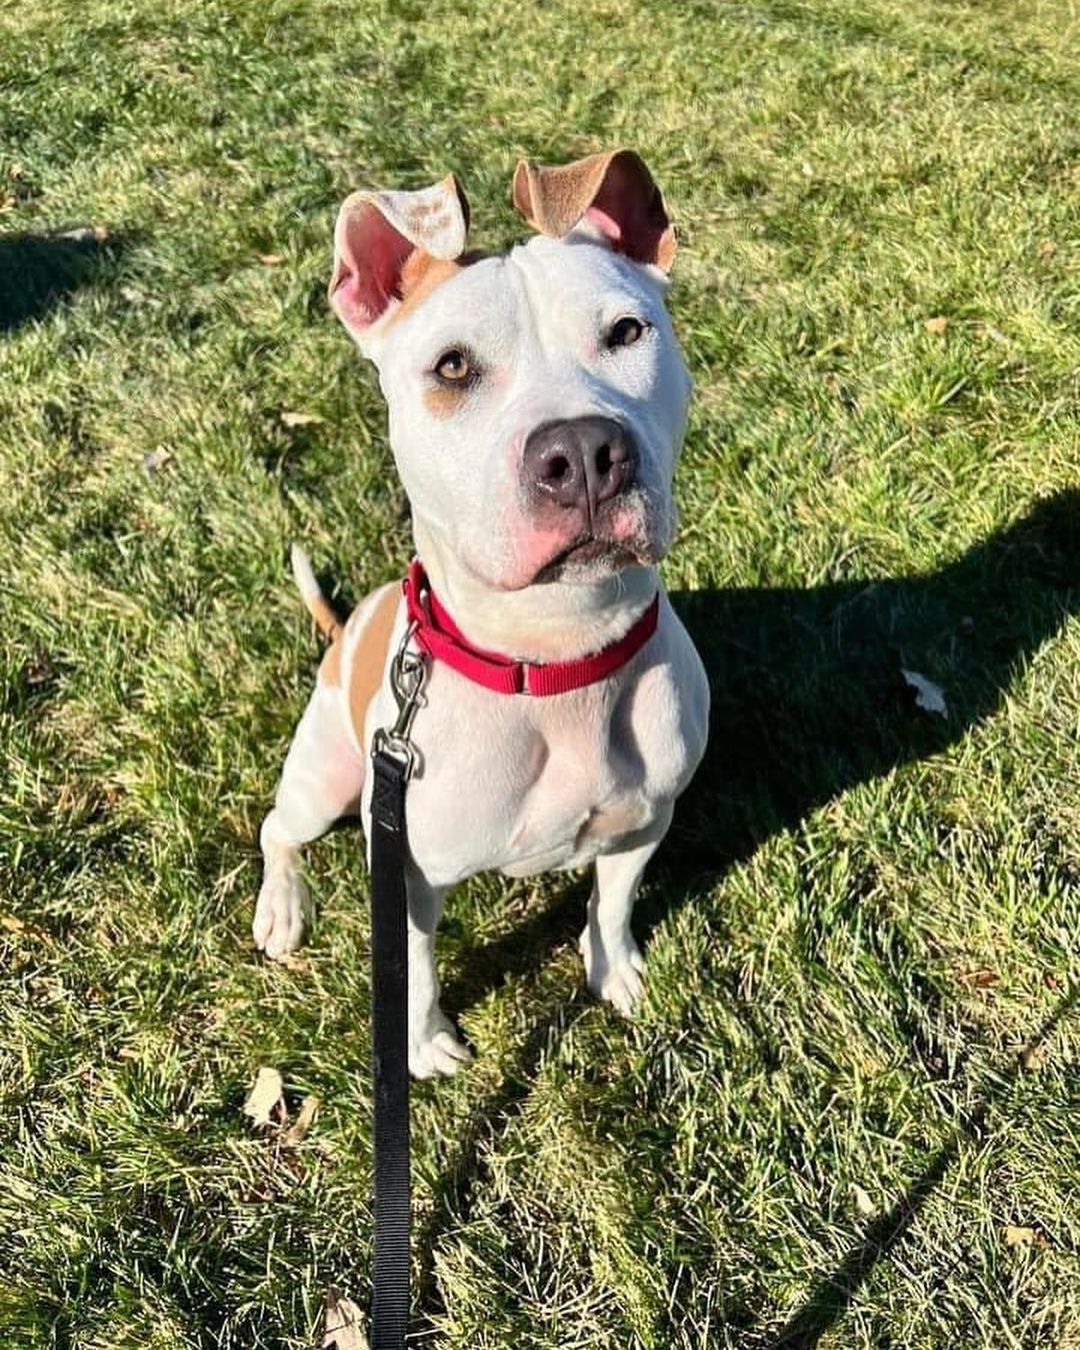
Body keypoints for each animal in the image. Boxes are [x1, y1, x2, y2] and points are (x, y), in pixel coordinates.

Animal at [252, 150, 707, 1074]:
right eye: (453, 369)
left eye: (627, 332)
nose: (583, 454)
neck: (555, 655)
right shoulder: (406, 871)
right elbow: (415, 964)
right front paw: (423, 1043)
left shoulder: (646, 822)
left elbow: (612, 903)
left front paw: (614, 970)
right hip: (327, 776)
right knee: (278, 829)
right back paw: (282, 908)